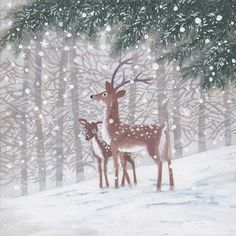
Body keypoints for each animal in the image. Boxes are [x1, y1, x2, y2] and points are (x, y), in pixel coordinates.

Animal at [91, 57, 174, 192]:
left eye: (104, 93)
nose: (92, 95)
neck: (112, 126)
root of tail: (163, 127)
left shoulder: (114, 144)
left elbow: (116, 165)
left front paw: (116, 187)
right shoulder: (122, 150)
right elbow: (123, 166)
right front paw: (126, 185)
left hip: (152, 146)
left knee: (160, 162)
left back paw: (158, 188)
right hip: (165, 145)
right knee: (169, 160)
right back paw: (172, 187)